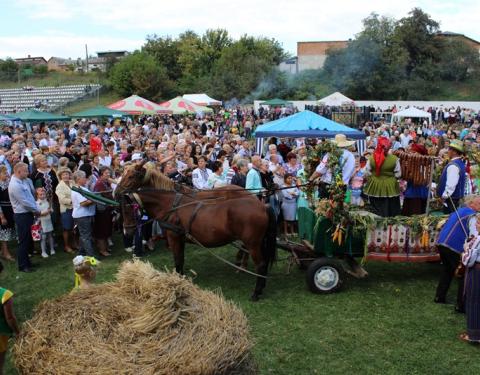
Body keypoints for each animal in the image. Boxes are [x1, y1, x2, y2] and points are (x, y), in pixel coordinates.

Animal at [116, 163, 278, 302]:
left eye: (127, 210)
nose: (116, 192)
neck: (170, 204)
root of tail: (262, 206)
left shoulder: (174, 237)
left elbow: (178, 260)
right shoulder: (177, 237)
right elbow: (179, 258)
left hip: (253, 243)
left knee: (261, 264)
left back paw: (256, 291)